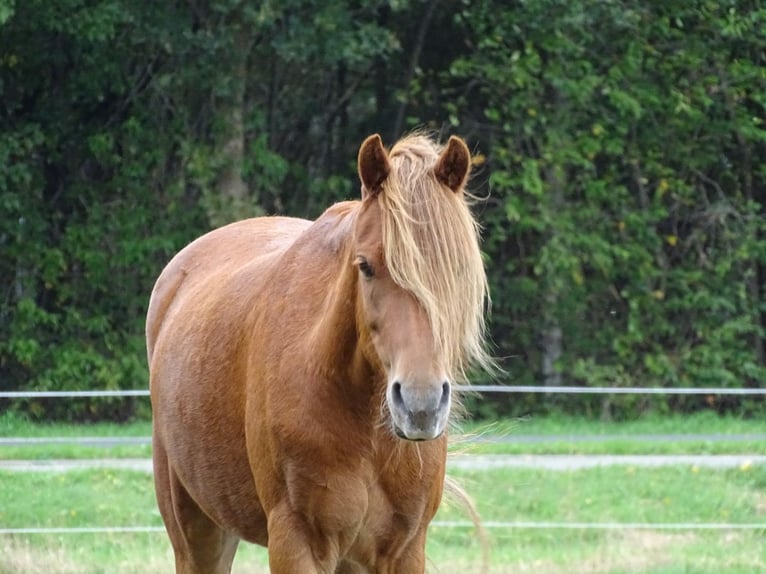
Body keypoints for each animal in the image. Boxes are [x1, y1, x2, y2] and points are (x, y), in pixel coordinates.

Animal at [147, 133, 496, 572]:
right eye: (365, 266)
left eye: (458, 269)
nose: (421, 405)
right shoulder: (297, 542)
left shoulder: (405, 549)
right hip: (195, 530)